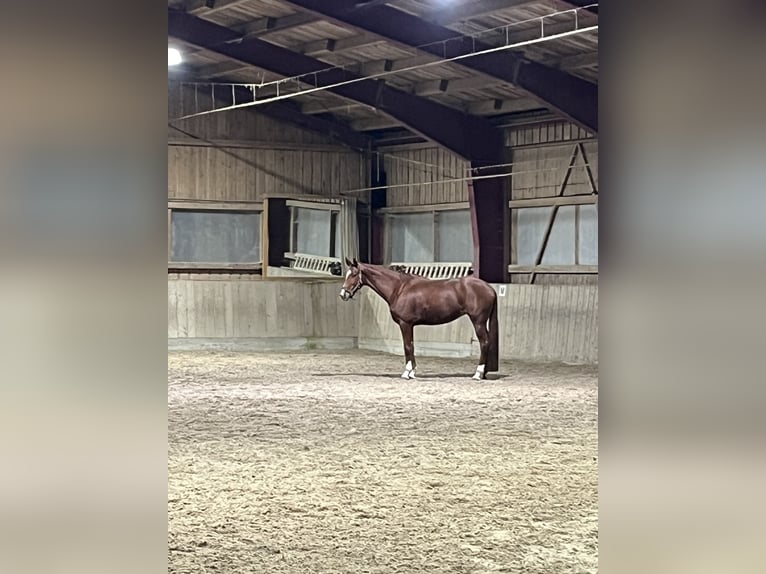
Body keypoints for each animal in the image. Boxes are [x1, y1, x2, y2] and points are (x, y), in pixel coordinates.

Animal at [339, 258, 499, 380]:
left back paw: (478, 374)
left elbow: (407, 346)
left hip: (478, 322)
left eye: (354, 274)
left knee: (484, 343)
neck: (399, 288)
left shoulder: (405, 323)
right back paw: (483, 373)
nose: (343, 294)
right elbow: (411, 345)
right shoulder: (410, 325)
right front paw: (413, 372)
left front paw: (406, 372)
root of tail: (490, 288)